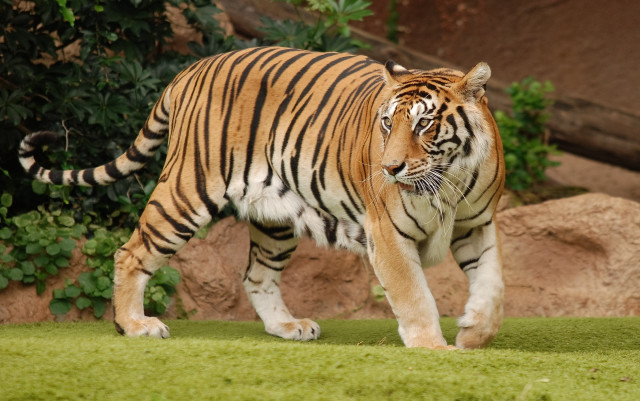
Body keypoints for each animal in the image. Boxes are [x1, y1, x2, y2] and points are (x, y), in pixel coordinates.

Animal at [19, 46, 505, 349]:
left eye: (424, 124)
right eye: (387, 123)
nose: (389, 169)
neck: (451, 180)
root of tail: (191, 69)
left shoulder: (476, 226)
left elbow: (493, 288)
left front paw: (472, 334)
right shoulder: (387, 233)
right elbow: (414, 295)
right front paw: (434, 348)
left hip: (275, 218)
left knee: (256, 275)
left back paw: (288, 326)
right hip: (187, 190)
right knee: (130, 252)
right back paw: (135, 326)